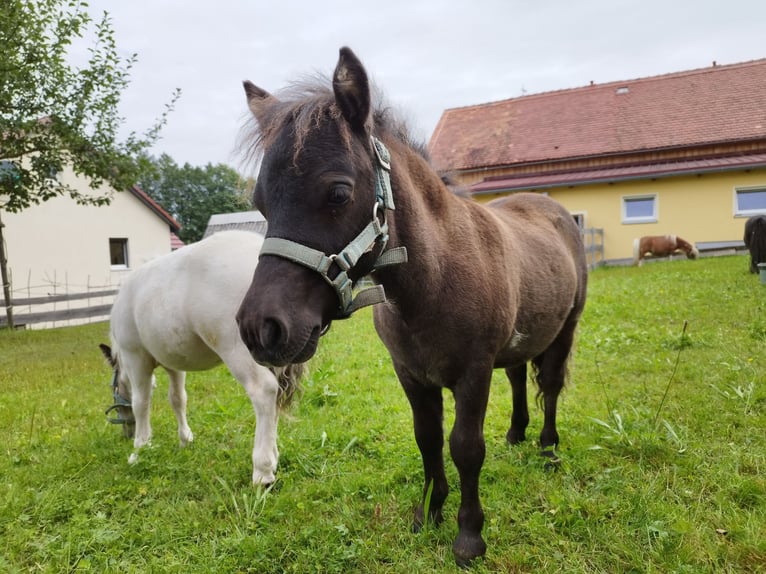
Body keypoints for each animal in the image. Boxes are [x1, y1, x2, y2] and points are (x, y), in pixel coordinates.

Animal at [100, 230, 306, 486]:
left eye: (114, 393)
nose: (127, 434)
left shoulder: (136, 358)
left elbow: (141, 403)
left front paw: (140, 448)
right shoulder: (174, 363)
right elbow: (178, 399)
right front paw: (185, 439)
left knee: (264, 391)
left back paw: (263, 469)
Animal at [237, 47, 592, 568]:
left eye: (339, 192)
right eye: (261, 202)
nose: (261, 328)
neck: (433, 283)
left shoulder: (473, 372)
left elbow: (465, 447)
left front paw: (469, 536)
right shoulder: (410, 374)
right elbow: (428, 439)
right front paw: (429, 512)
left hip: (565, 329)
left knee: (549, 384)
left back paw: (547, 448)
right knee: (518, 376)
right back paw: (516, 434)